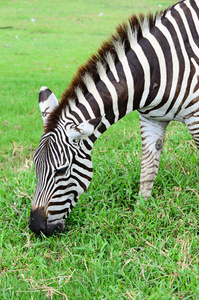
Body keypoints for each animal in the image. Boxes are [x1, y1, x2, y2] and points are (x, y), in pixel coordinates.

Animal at [29, 0, 199, 236]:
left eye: (61, 170)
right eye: (35, 165)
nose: (35, 227)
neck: (154, 70)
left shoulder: (196, 116)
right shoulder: (152, 119)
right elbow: (148, 170)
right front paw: (141, 214)